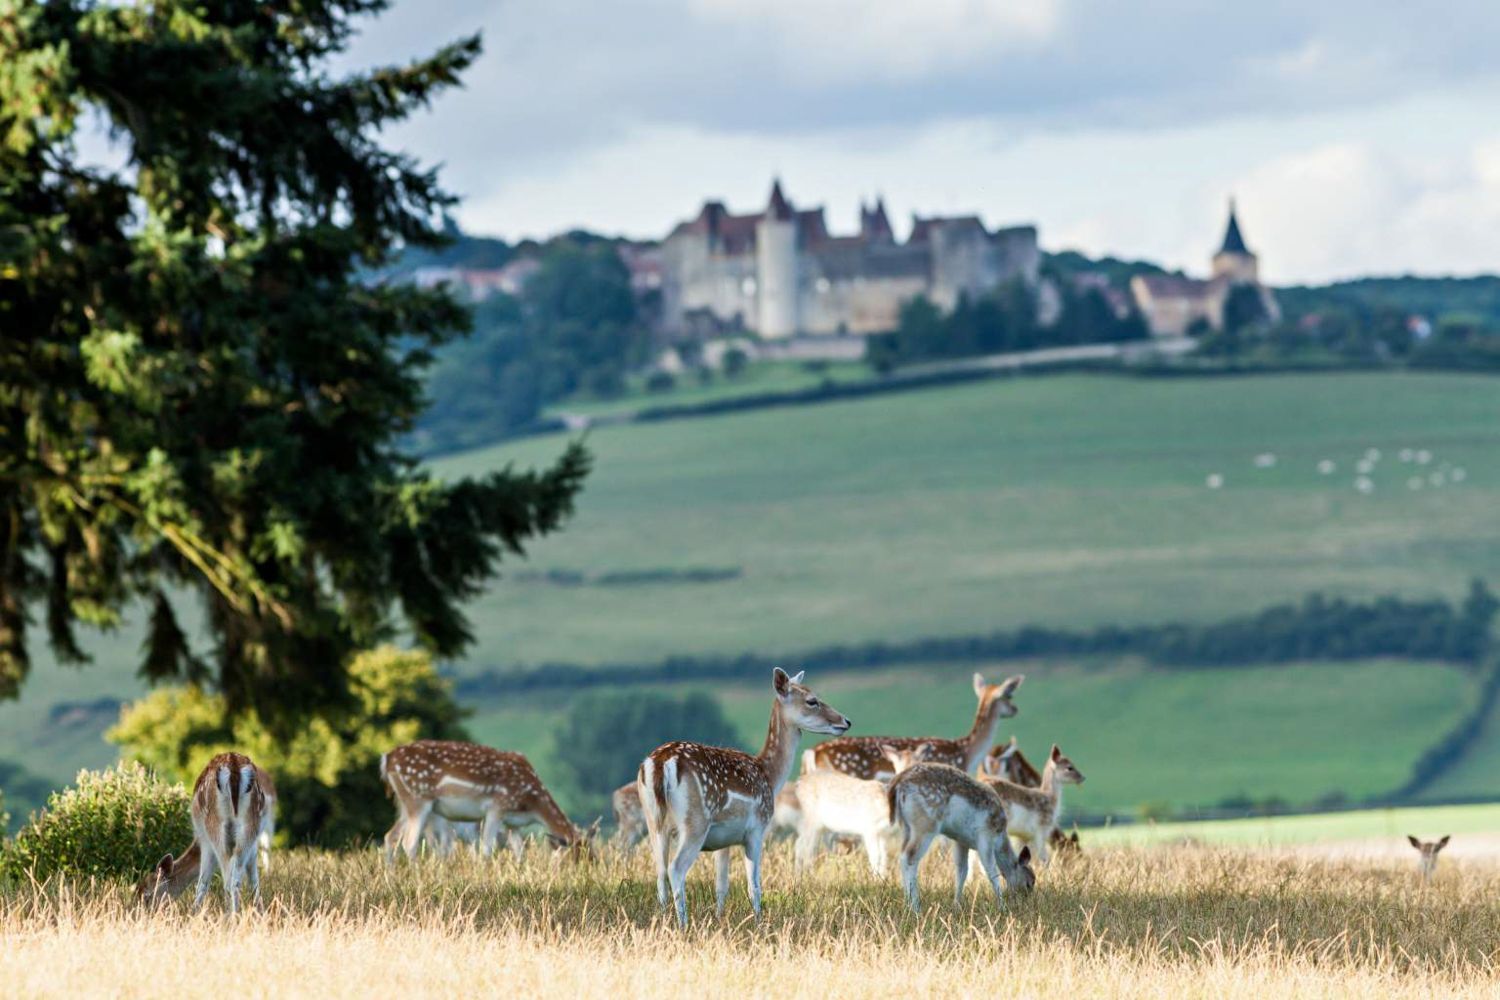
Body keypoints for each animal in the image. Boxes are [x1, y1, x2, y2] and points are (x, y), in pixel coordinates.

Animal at [136, 749, 277, 917]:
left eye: (147, 896)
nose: (140, 916)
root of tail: (234, 768)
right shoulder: (253, 845)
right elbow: (254, 880)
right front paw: (261, 913)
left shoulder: (205, 841)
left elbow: (202, 883)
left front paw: (192, 915)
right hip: (251, 825)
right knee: (236, 879)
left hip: (214, 827)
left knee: (228, 880)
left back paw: (229, 918)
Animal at [636, 668, 858, 929]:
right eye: (812, 700)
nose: (845, 721)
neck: (768, 775)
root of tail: (661, 764)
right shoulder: (756, 829)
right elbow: (754, 886)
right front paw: (759, 923)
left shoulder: (722, 841)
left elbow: (721, 885)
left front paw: (720, 919)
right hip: (695, 822)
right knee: (675, 869)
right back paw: (683, 925)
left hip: (654, 821)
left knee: (660, 873)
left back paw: (663, 919)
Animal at [792, 743, 930, 875]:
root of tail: (798, 783)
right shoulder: (869, 828)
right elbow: (875, 857)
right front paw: (875, 879)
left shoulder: (884, 834)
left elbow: (884, 858)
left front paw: (883, 878)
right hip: (810, 819)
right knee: (805, 847)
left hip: (819, 825)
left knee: (803, 845)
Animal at [882, 758, 1038, 917]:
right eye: (1029, 882)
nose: (1025, 902)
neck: (1000, 837)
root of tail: (898, 782)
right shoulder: (985, 835)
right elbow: (991, 871)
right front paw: (1002, 907)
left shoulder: (961, 841)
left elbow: (962, 871)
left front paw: (956, 905)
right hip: (925, 824)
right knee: (909, 857)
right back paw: (916, 908)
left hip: (907, 827)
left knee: (902, 855)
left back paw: (907, 903)